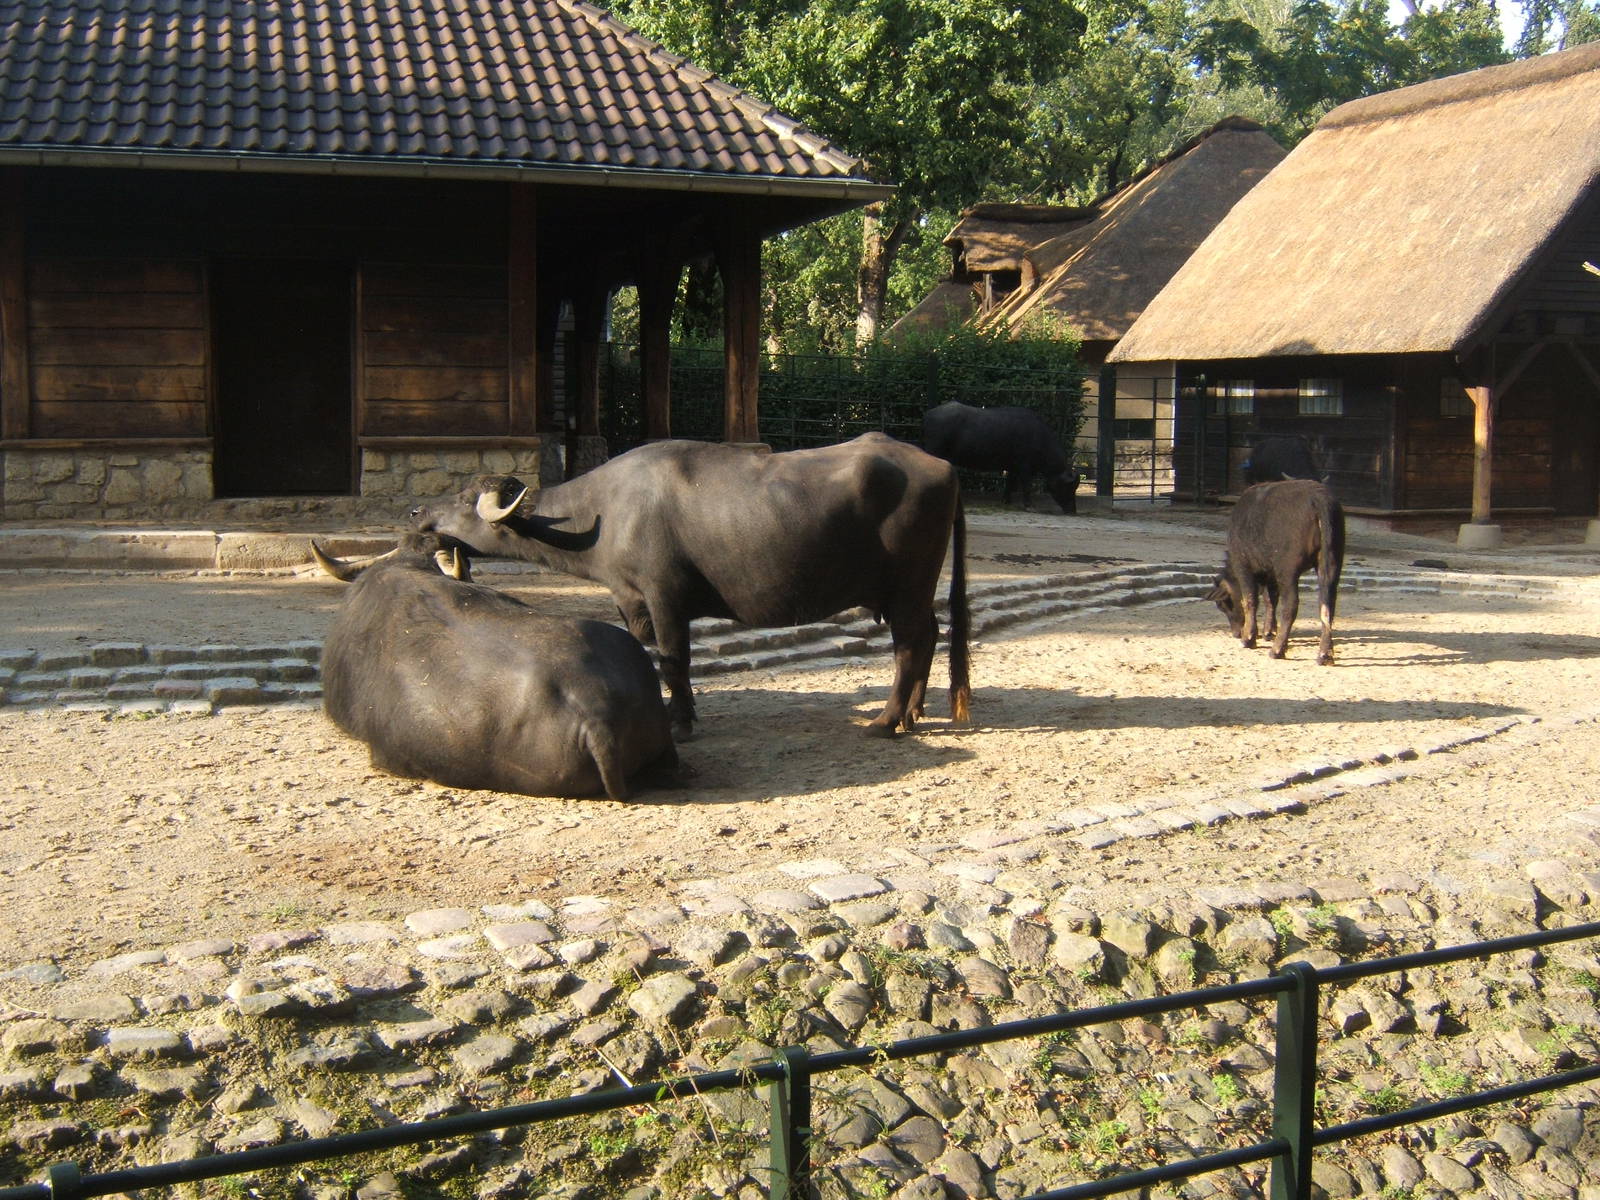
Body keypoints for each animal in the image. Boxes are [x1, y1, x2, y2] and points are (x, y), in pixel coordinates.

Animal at [411, 434, 971, 741]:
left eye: (462, 499)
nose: (417, 512)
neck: (604, 512)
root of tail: (943, 465)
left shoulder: (665, 599)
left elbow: (673, 659)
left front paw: (681, 722)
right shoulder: (631, 600)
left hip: (906, 587)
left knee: (910, 645)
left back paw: (886, 720)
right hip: (913, 591)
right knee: (931, 635)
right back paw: (915, 713)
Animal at [921, 400, 1080, 513]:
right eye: (1069, 486)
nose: (1072, 510)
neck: (1039, 438)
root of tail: (928, 415)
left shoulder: (1013, 466)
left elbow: (1009, 482)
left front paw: (1006, 501)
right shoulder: (1024, 467)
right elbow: (1026, 485)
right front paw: (1029, 505)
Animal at [1208, 479, 1345, 665]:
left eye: (1223, 604)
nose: (1236, 633)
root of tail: (1319, 498)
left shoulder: (1244, 567)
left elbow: (1250, 600)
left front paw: (1249, 638)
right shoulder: (1270, 572)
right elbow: (1270, 599)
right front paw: (1268, 631)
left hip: (1287, 570)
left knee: (1291, 605)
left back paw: (1277, 650)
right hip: (1330, 563)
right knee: (1327, 604)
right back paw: (1324, 654)